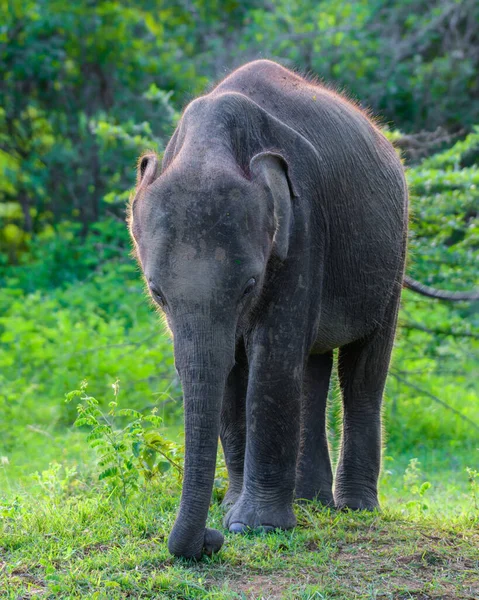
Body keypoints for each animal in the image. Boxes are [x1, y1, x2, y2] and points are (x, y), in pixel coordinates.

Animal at [127, 59, 479, 556]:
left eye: (249, 285)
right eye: (156, 293)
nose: (210, 541)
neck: (211, 144)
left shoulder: (304, 227)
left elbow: (271, 361)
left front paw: (252, 526)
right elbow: (231, 371)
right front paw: (232, 511)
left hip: (394, 254)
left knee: (362, 371)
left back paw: (353, 508)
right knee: (313, 366)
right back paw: (311, 501)